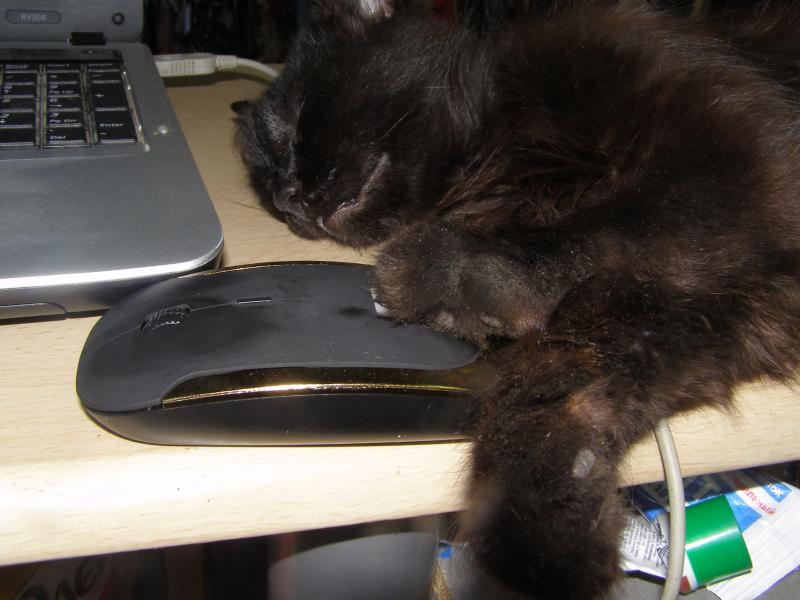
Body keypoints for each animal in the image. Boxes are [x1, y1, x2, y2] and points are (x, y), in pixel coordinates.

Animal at [234, 1, 800, 598]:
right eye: (271, 196)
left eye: (290, 122)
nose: (290, 199)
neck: (488, 137)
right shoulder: (696, 316)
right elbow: (551, 385)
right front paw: (546, 515)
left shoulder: (731, 163)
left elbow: (606, 228)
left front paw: (456, 273)